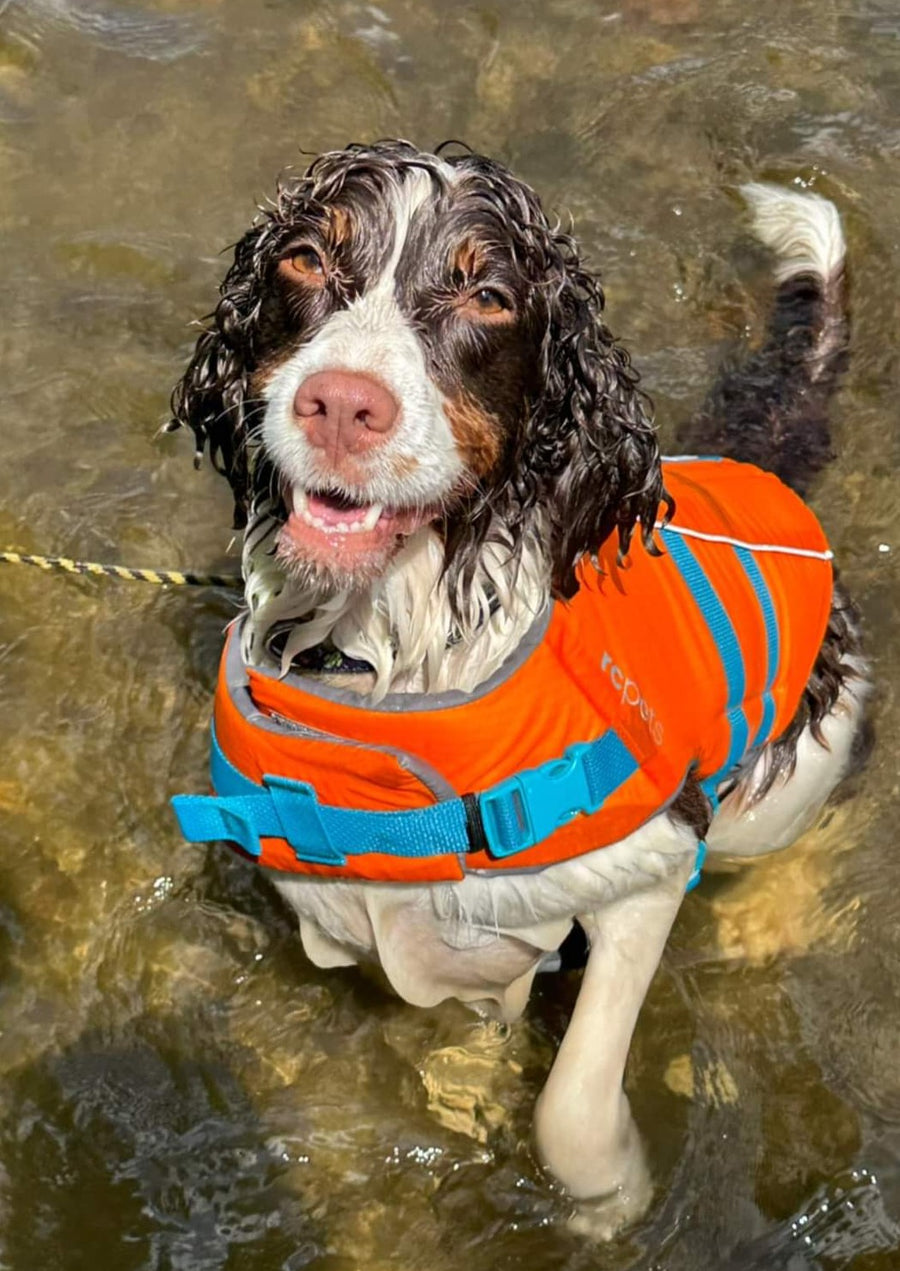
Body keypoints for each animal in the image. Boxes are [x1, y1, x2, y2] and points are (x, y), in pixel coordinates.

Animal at [166, 139, 864, 1230]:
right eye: (307, 261)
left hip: (786, 776)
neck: (390, 662)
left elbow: (570, 1102)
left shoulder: (648, 869)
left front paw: (610, 1199)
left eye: (488, 297)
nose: (342, 405)